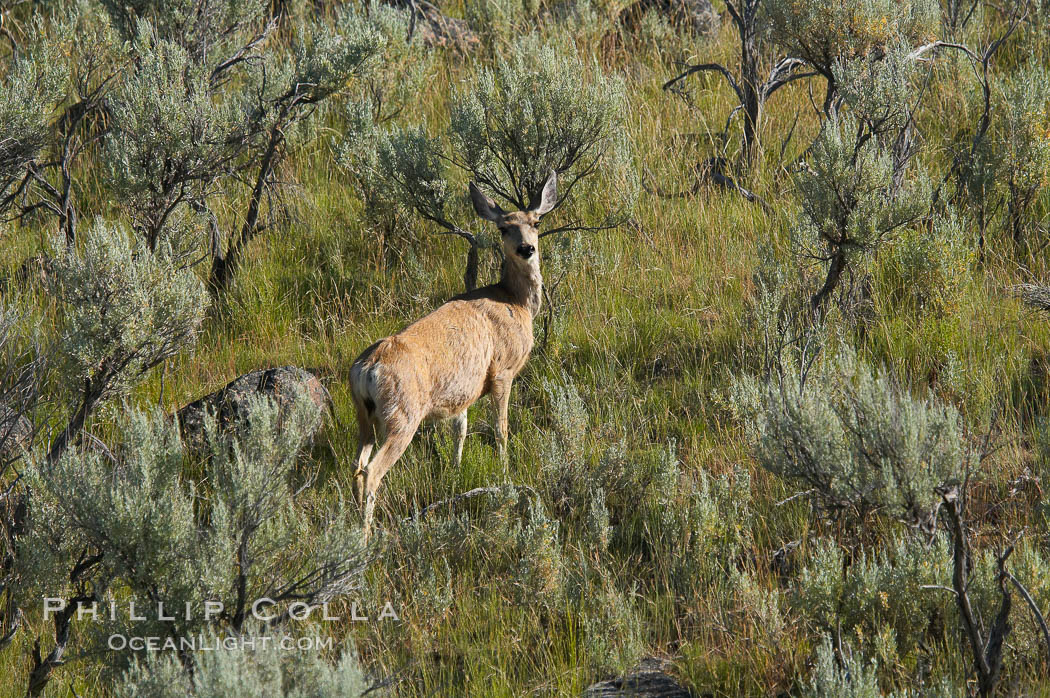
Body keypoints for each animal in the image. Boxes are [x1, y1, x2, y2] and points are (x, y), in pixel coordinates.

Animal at [348, 168, 558, 533]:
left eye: (536, 222)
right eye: (504, 227)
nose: (526, 248)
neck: (515, 302)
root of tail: (367, 369)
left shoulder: (465, 389)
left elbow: (460, 430)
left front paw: (456, 471)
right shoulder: (502, 371)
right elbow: (501, 429)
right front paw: (505, 473)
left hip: (365, 415)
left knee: (356, 466)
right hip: (402, 414)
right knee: (371, 471)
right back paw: (364, 536)